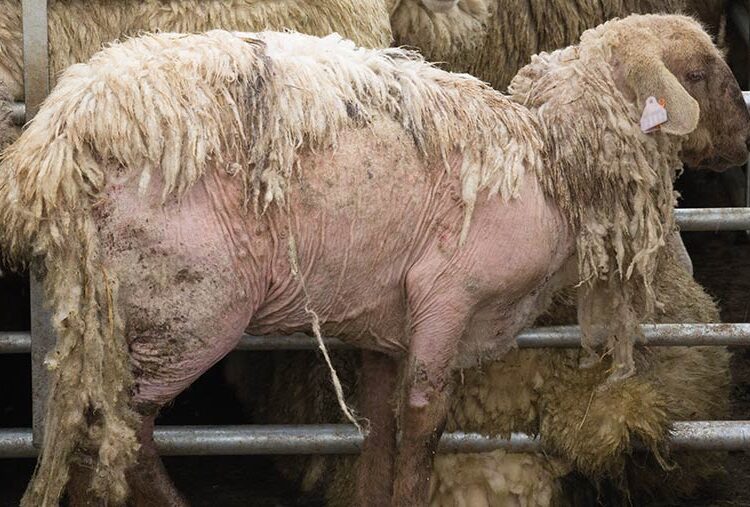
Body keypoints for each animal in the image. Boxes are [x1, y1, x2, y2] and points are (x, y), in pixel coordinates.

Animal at [1, 14, 747, 506]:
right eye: (699, 72)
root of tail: (54, 144)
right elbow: (424, 421)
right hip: (186, 303)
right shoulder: (448, 295)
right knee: (117, 428)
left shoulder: (385, 321)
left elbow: (379, 430)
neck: (552, 158)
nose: (745, 137)